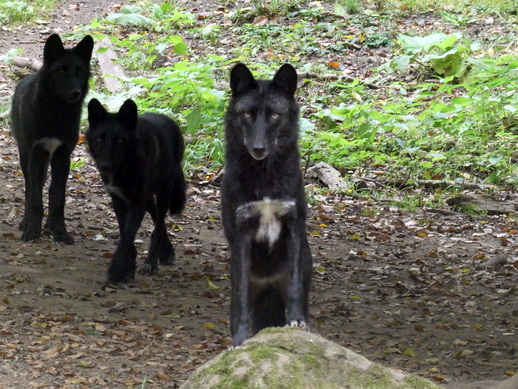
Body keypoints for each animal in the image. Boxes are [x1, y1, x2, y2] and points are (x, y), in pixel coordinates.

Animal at [10, 34, 94, 244]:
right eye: (61, 71)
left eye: (79, 72)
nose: (75, 93)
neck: (57, 113)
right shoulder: (36, 155)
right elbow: (35, 199)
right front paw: (32, 231)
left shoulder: (63, 157)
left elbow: (58, 199)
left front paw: (60, 232)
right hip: (25, 157)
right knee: (30, 188)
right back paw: (27, 221)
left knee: (49, 190)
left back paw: (49, 225)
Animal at [87, 98, 187, 284]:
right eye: (99, 139)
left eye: (120, 141)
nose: (105, 167)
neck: (125, 167)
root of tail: (169, 120)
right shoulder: (118, 200)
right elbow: (124, 233)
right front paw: (128, 268)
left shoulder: (137, 203)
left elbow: (127, 236)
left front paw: (117, 271)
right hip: (148, 198)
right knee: (158, 220)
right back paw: (166, 252)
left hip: (163, 192)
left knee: (158, 226)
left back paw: (151, 262)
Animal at [220, 63, 312, 346]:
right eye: (248, 114)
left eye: (273, 115)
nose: (258, 148)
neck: (265, 176)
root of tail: (269, 282)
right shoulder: (242, 233)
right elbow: (240, 304)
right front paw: (240, 340)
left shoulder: (293, 224)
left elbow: (294, 287)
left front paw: (296, 321)